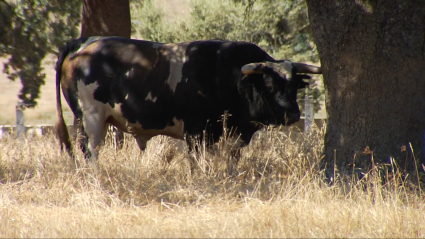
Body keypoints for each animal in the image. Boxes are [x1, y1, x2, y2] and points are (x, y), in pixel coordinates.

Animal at [56, 37, 322, 162]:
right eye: (269, 84)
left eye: (294, 85)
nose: (293, 113)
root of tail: (86, 43)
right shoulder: (196, 133)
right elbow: (197, 162)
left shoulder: (231, 136)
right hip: (90, 119)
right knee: (90, 151)